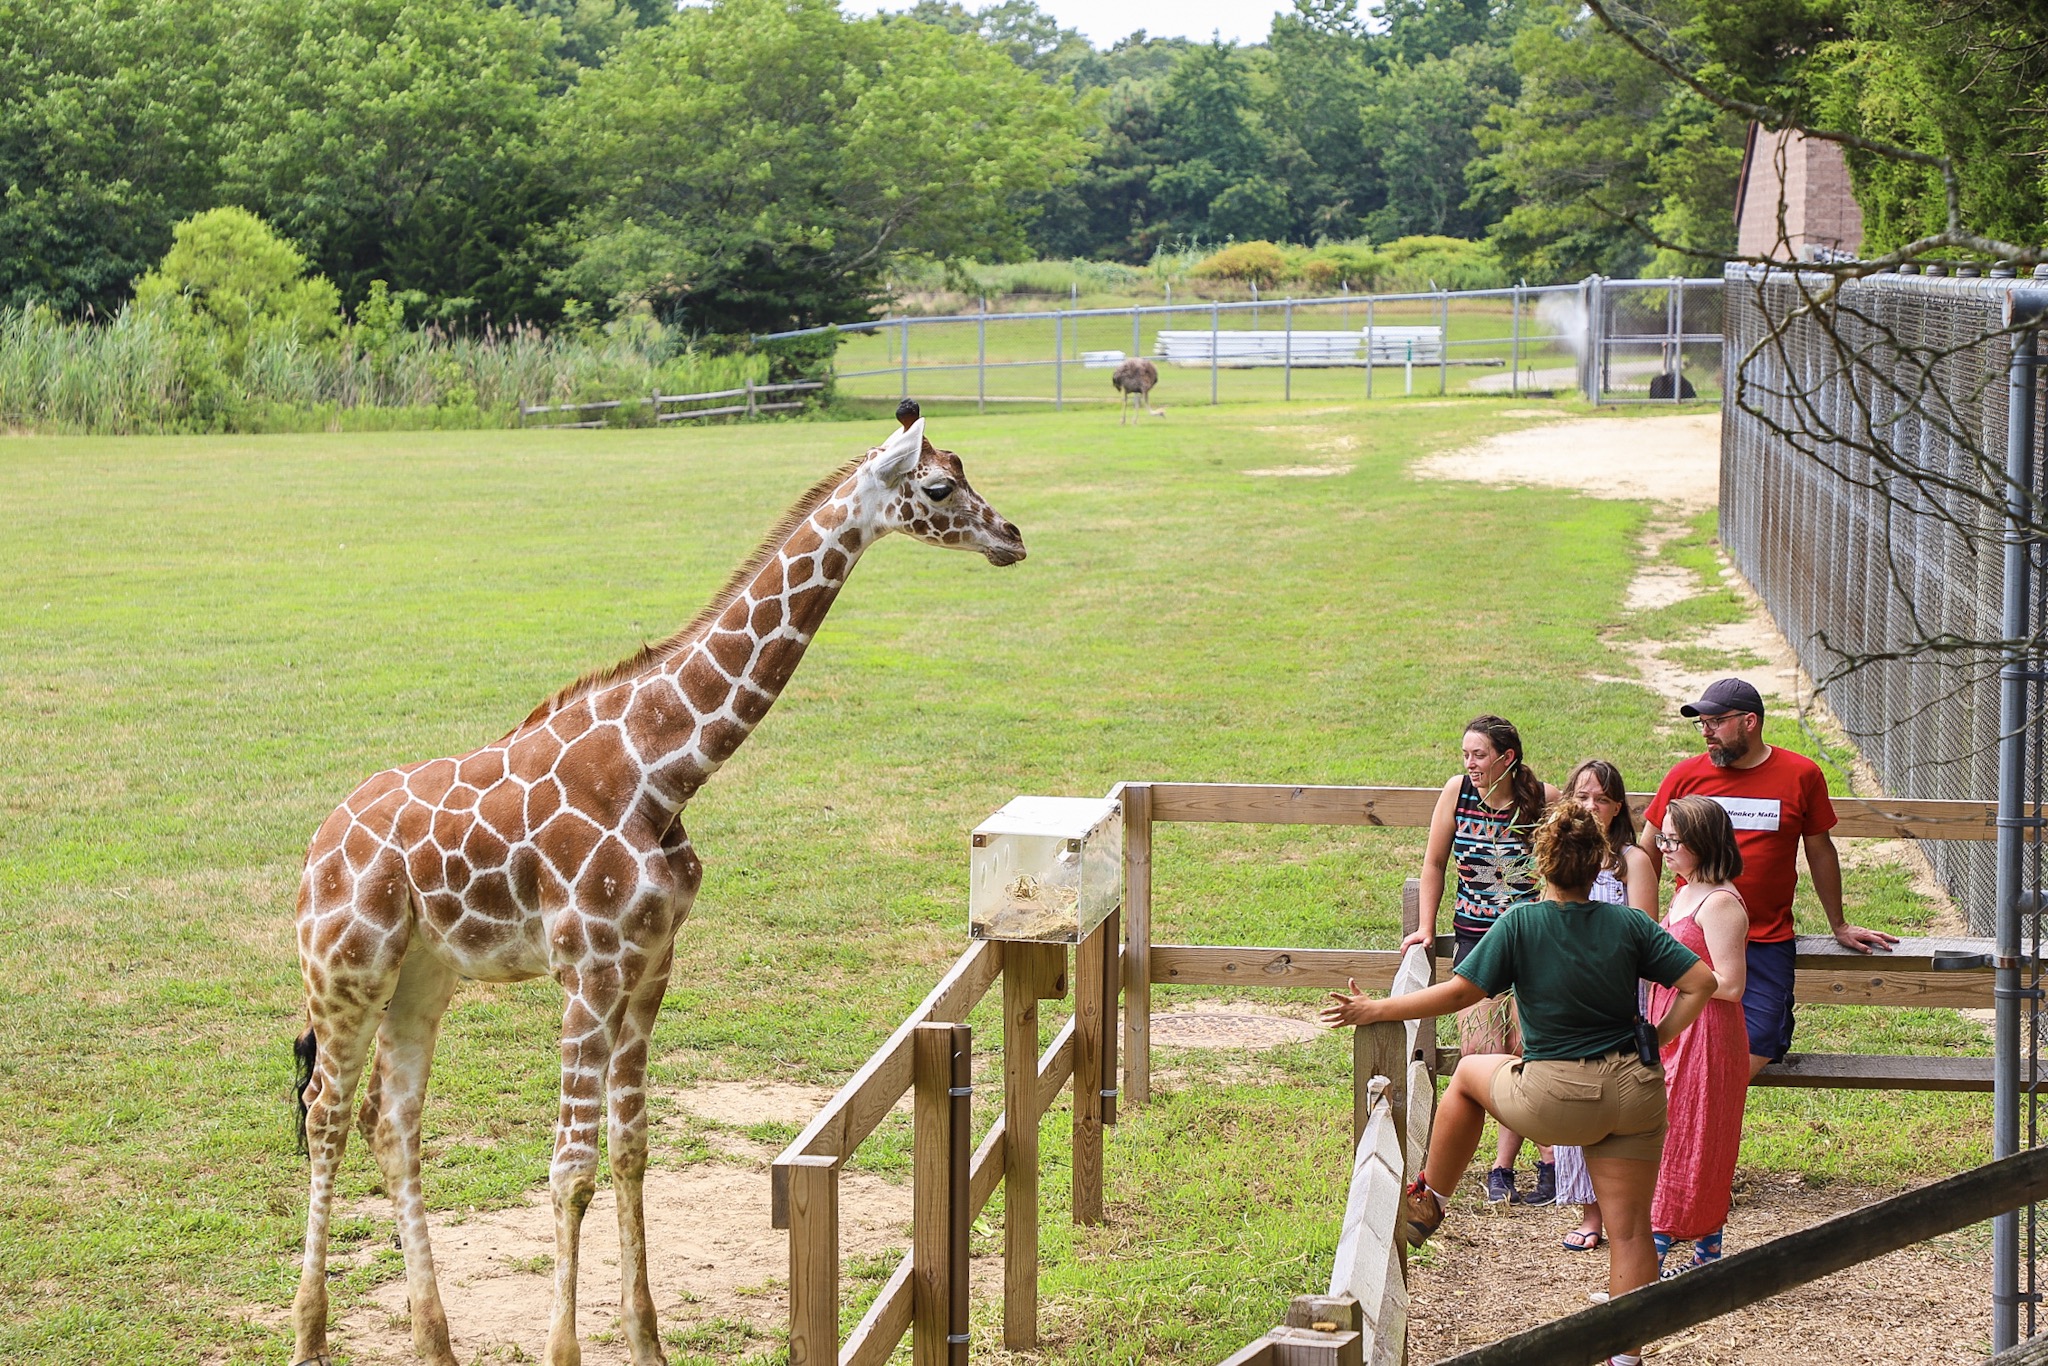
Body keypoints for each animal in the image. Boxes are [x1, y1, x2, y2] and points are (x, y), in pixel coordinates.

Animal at [288, 413, 1024, 1366]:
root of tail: (317, 843)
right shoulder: (589, 969)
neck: (662, 770)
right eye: (938, 486)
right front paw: (565, 1352)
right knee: (326, 1116)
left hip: (424, 974)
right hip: (346, 970)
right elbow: (569, 1169)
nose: (1012, 537)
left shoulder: (651, 965)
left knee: (391, 1121)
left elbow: (631, 1149)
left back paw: (435, 1342)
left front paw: (648, 1342)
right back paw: (309, 1337)